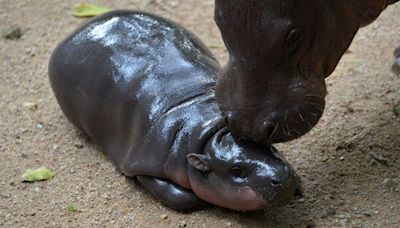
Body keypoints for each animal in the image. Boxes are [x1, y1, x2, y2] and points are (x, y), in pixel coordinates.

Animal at [48, 10, 300, 210]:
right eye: (237, 171)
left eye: (269, 147)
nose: (280, 177)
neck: (207, 129)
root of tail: (77, 31)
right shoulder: (144, 164)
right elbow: (178, 195)